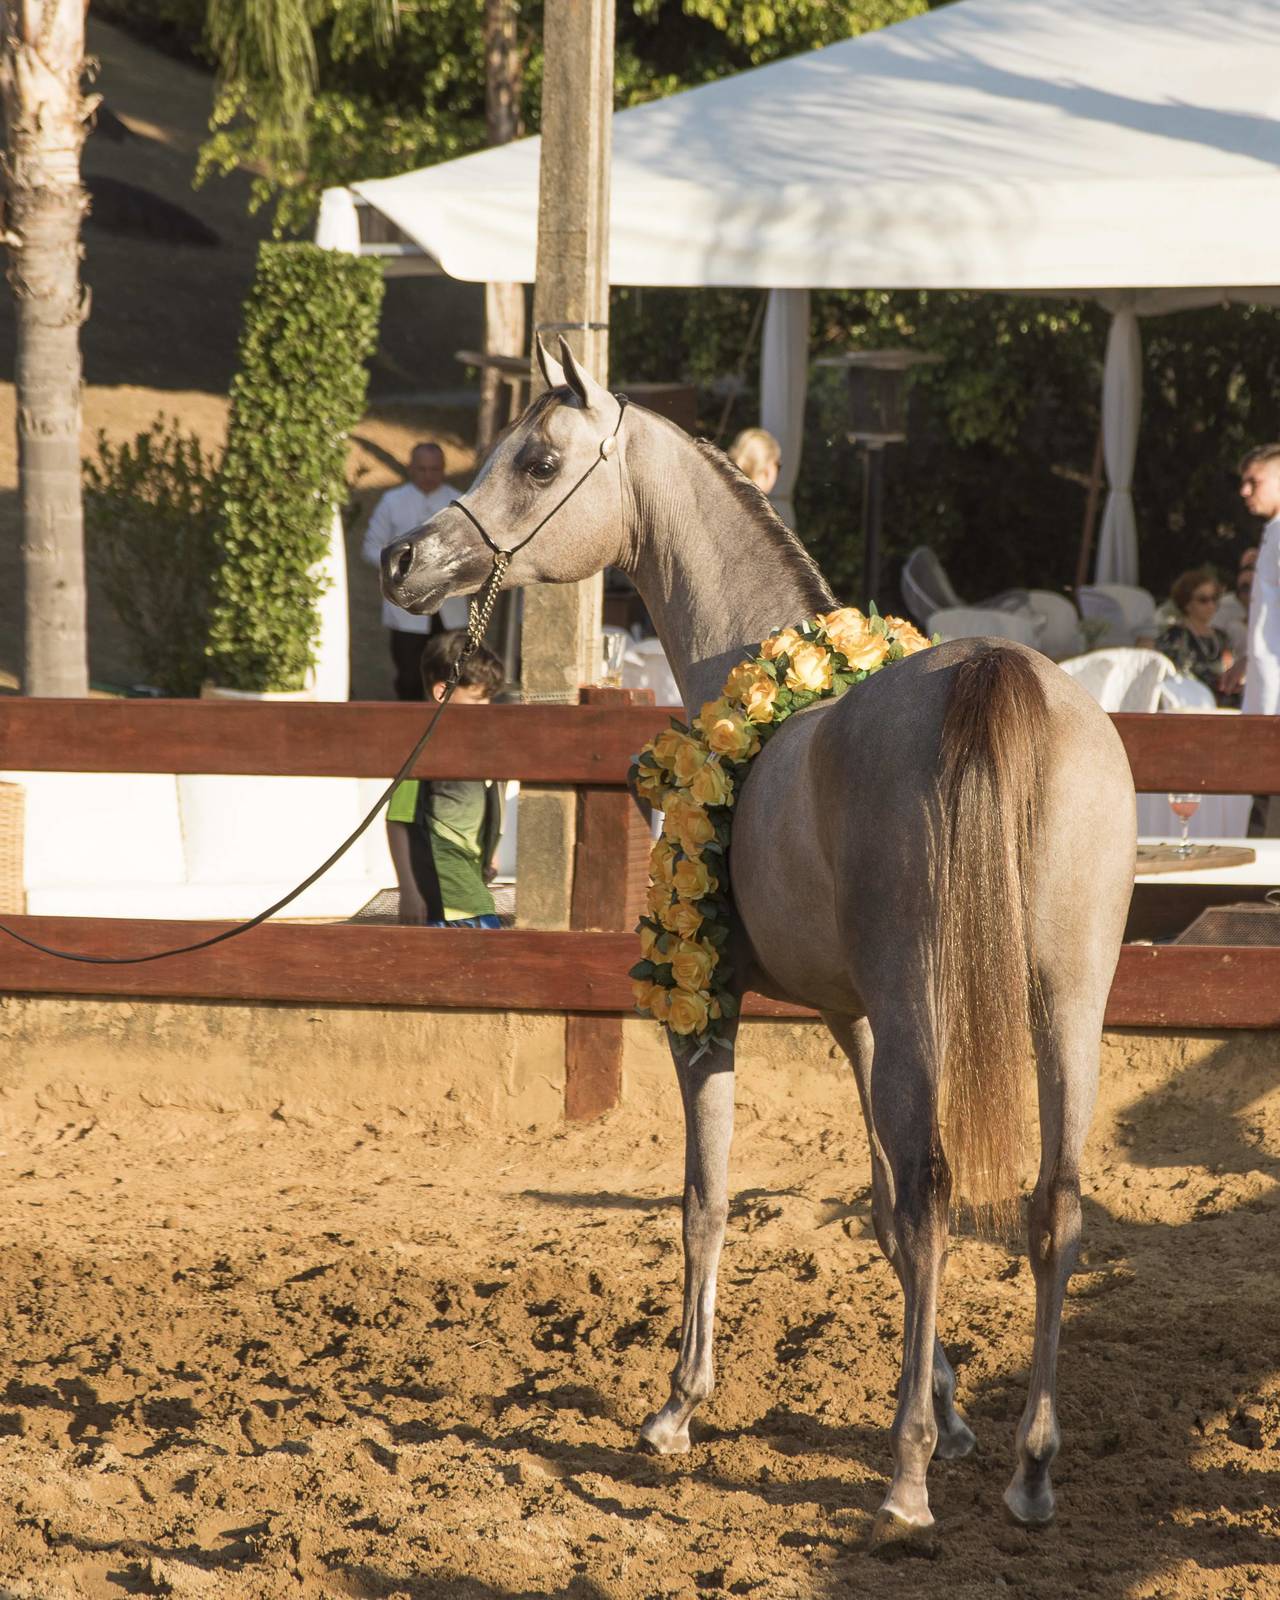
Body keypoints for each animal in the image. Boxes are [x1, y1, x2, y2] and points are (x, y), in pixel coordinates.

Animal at [381, 337, 1136, 1548]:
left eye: (537, 460)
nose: (406, 559)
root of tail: (1001, 679)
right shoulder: (854, 1021)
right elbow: (878, 1210)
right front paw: (951, 1408)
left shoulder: (711, 1012)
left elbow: (710, 1198)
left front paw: (679, 1405)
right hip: (1065, 1006)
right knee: (1050, 1207)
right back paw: (1028, 1466)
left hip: (931, 1007)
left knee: (937, 1193)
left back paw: (903, 1481)